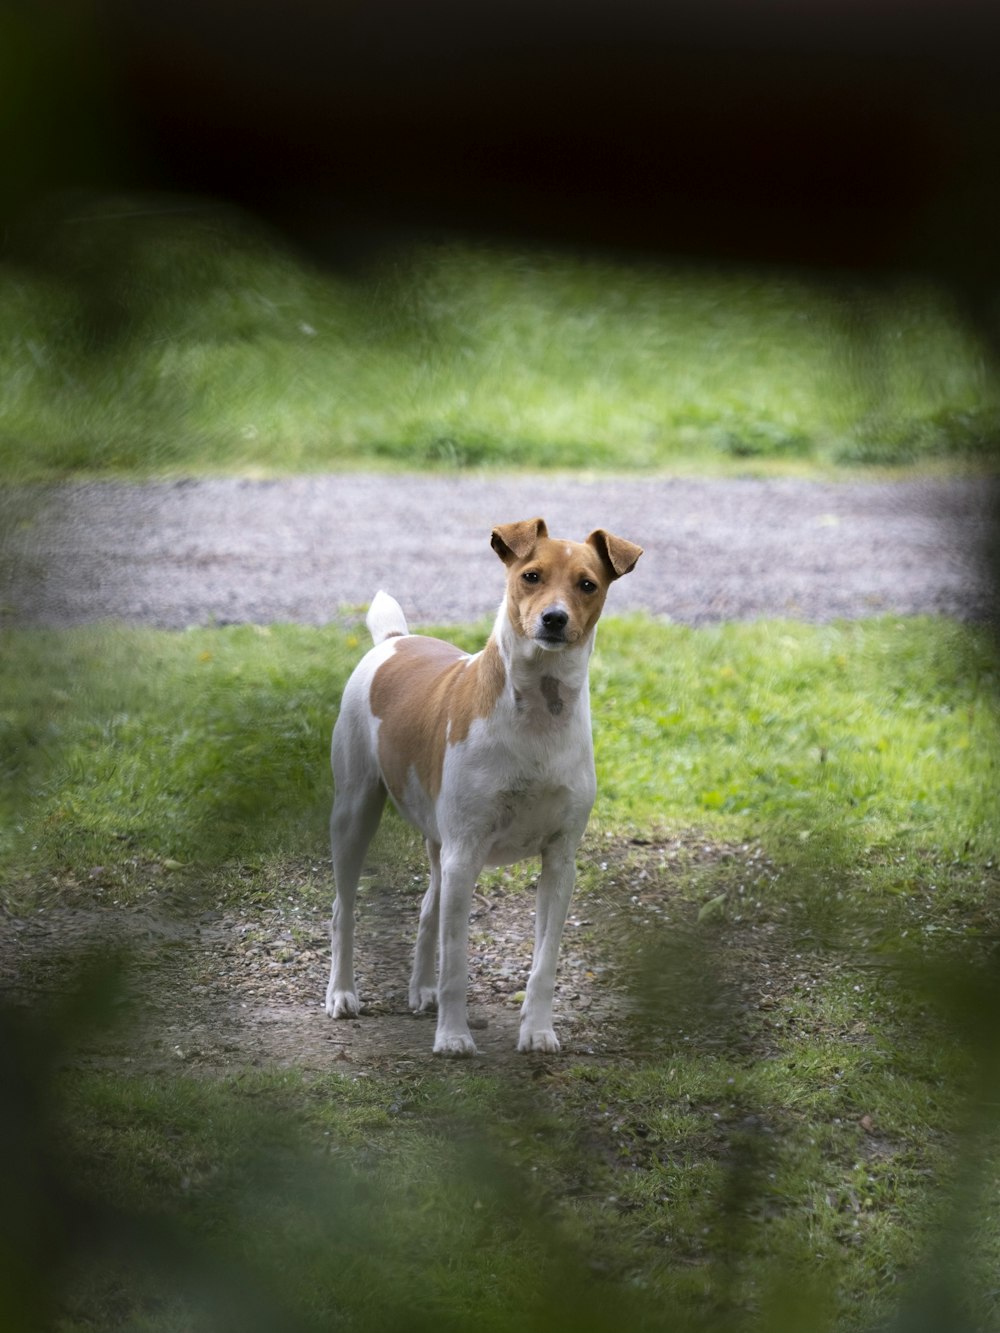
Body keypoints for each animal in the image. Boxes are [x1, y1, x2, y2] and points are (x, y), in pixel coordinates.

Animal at [325, 514, 645, 1055]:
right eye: (531, 576)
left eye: (587, 584)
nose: (554, 619)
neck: (537, 716)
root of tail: (394, 639)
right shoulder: (466, 855)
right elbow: (456, 962)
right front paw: (453, 1038)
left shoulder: (559, 861)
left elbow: (544, 963)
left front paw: (538, 1031)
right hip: (356, 814)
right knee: (343, 910)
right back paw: (343, 993)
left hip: (439, 845)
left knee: (428, 910)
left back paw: (422, 990)